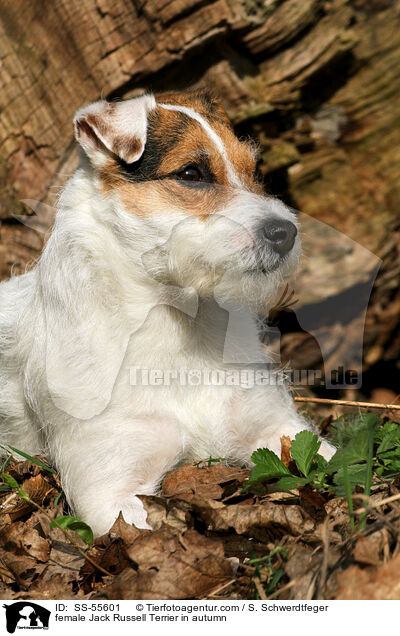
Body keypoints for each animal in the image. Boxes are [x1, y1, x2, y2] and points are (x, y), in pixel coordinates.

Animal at [0, 90, 334, 536]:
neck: (178, 327)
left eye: (255, 170)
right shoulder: (111, 496)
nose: (285, 233)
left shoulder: (281, 429)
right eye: (191, 173)